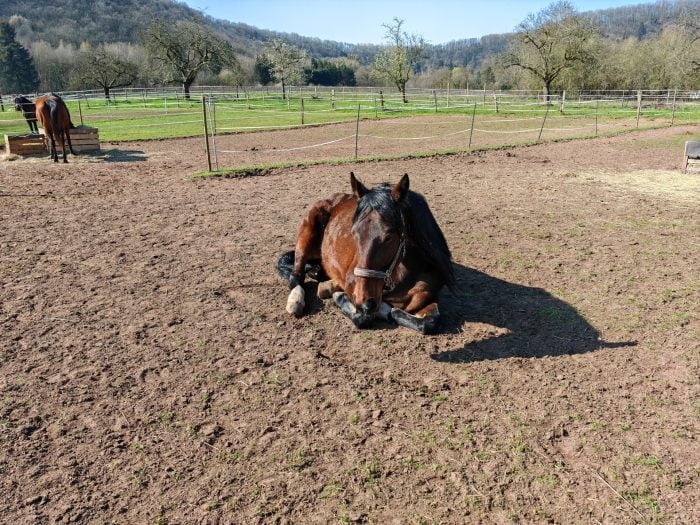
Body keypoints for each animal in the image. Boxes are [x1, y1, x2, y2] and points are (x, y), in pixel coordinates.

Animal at [278, 174, 454, 334]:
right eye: (353, 232)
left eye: (388, 237)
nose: (364, 300)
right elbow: (364, 317)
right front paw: (337, 294)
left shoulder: (428, 297)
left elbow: (430, 322)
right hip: (306, 233)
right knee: (296, 276)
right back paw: (296, 300)